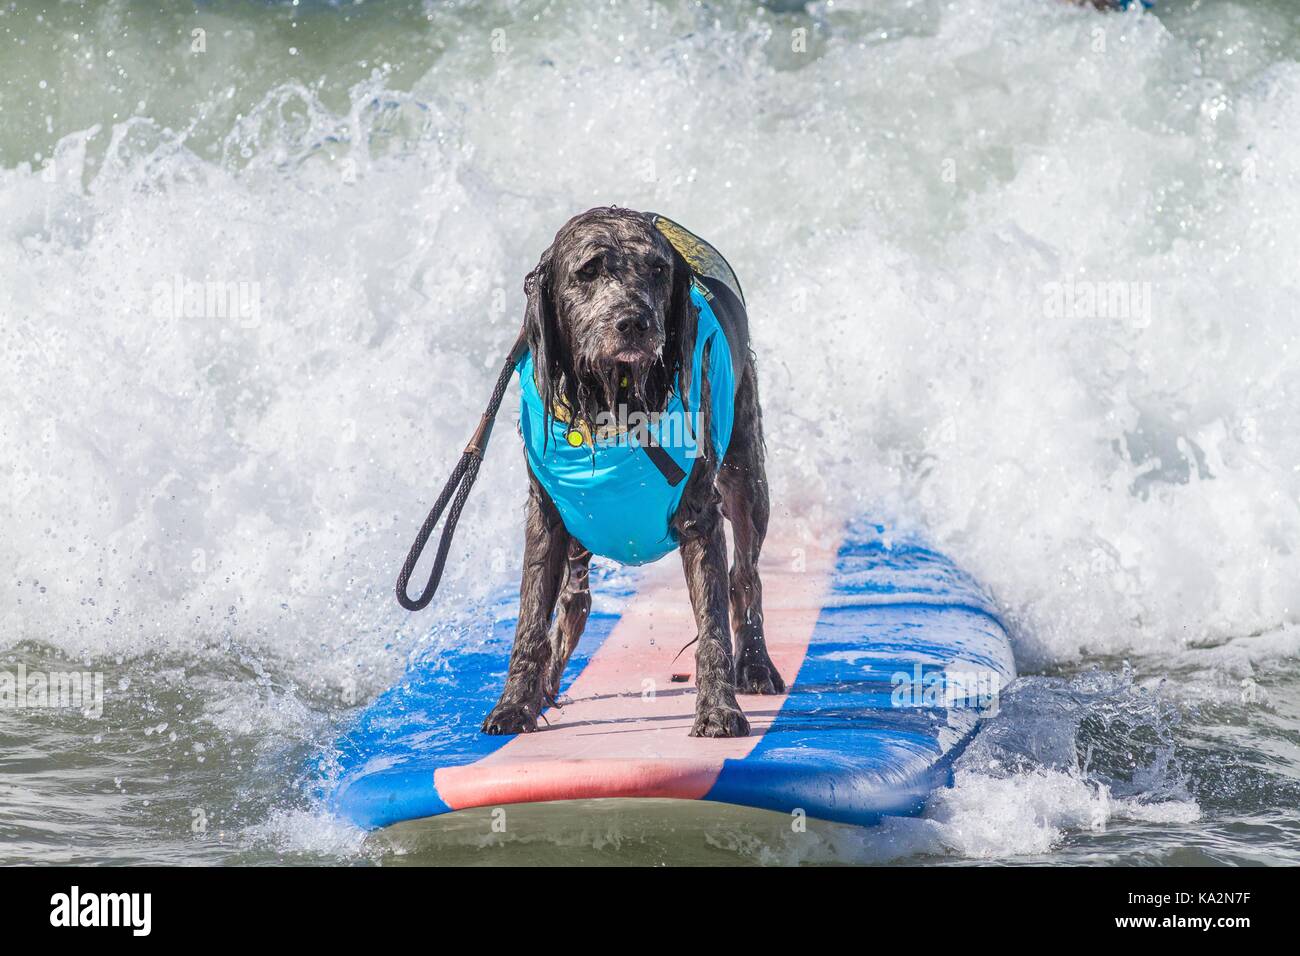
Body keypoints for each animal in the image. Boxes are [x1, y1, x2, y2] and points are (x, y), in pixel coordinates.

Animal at [480, 205, 774, 738]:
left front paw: (719, 708)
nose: (634, 322)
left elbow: (714, 622)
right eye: (589, 270)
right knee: (574, 602)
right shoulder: (547, 518)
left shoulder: (700, 515)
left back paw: (757, 666)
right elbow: (530, 621)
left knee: (746, 576)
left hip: (747, 477)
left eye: (658, 269)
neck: (611, 401)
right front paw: (514, 705)